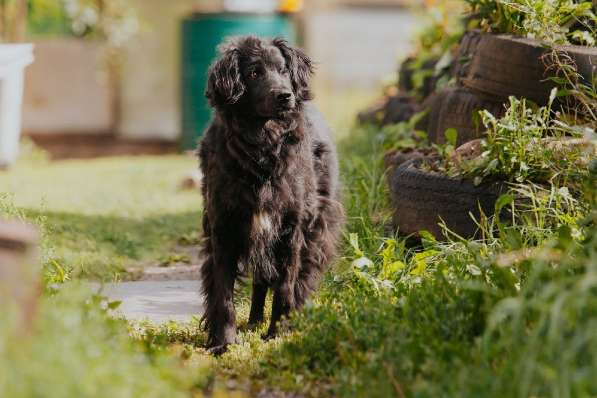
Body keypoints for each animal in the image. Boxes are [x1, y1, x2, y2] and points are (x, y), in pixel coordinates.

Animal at [198, 36, 342, 354]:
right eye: (254, 73)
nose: (286, 96)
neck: (263, 144)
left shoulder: (291, 228)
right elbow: (223, 290)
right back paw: (252, 321)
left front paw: (278, 333)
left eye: (283, 70)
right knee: (259, 280)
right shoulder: (223, 226)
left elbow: (286, 285)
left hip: (317, 225)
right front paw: (224, 342)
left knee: (300, 275)